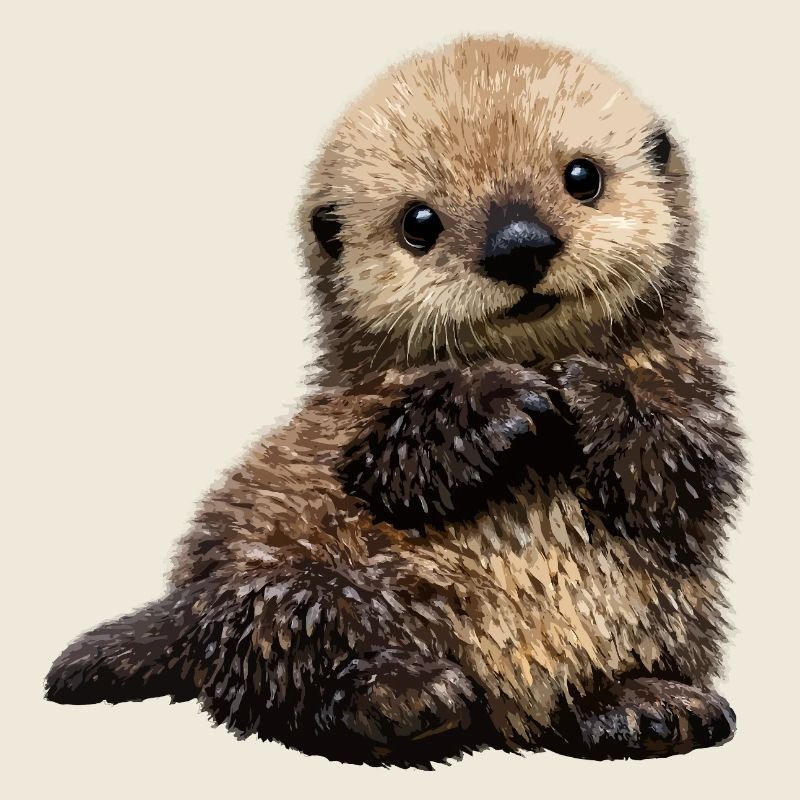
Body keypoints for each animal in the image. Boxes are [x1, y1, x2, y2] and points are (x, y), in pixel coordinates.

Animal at [45, 37, 744, 767]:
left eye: (583, 177)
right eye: (419, 222)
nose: (520, 245)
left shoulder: (693, 386)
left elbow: (683, 465)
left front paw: (587, 392)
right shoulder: (351, 411)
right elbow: (388, 467)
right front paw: (499, 401)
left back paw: (644, 705)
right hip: (286, 582)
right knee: (285, 662)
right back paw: (404, 697)